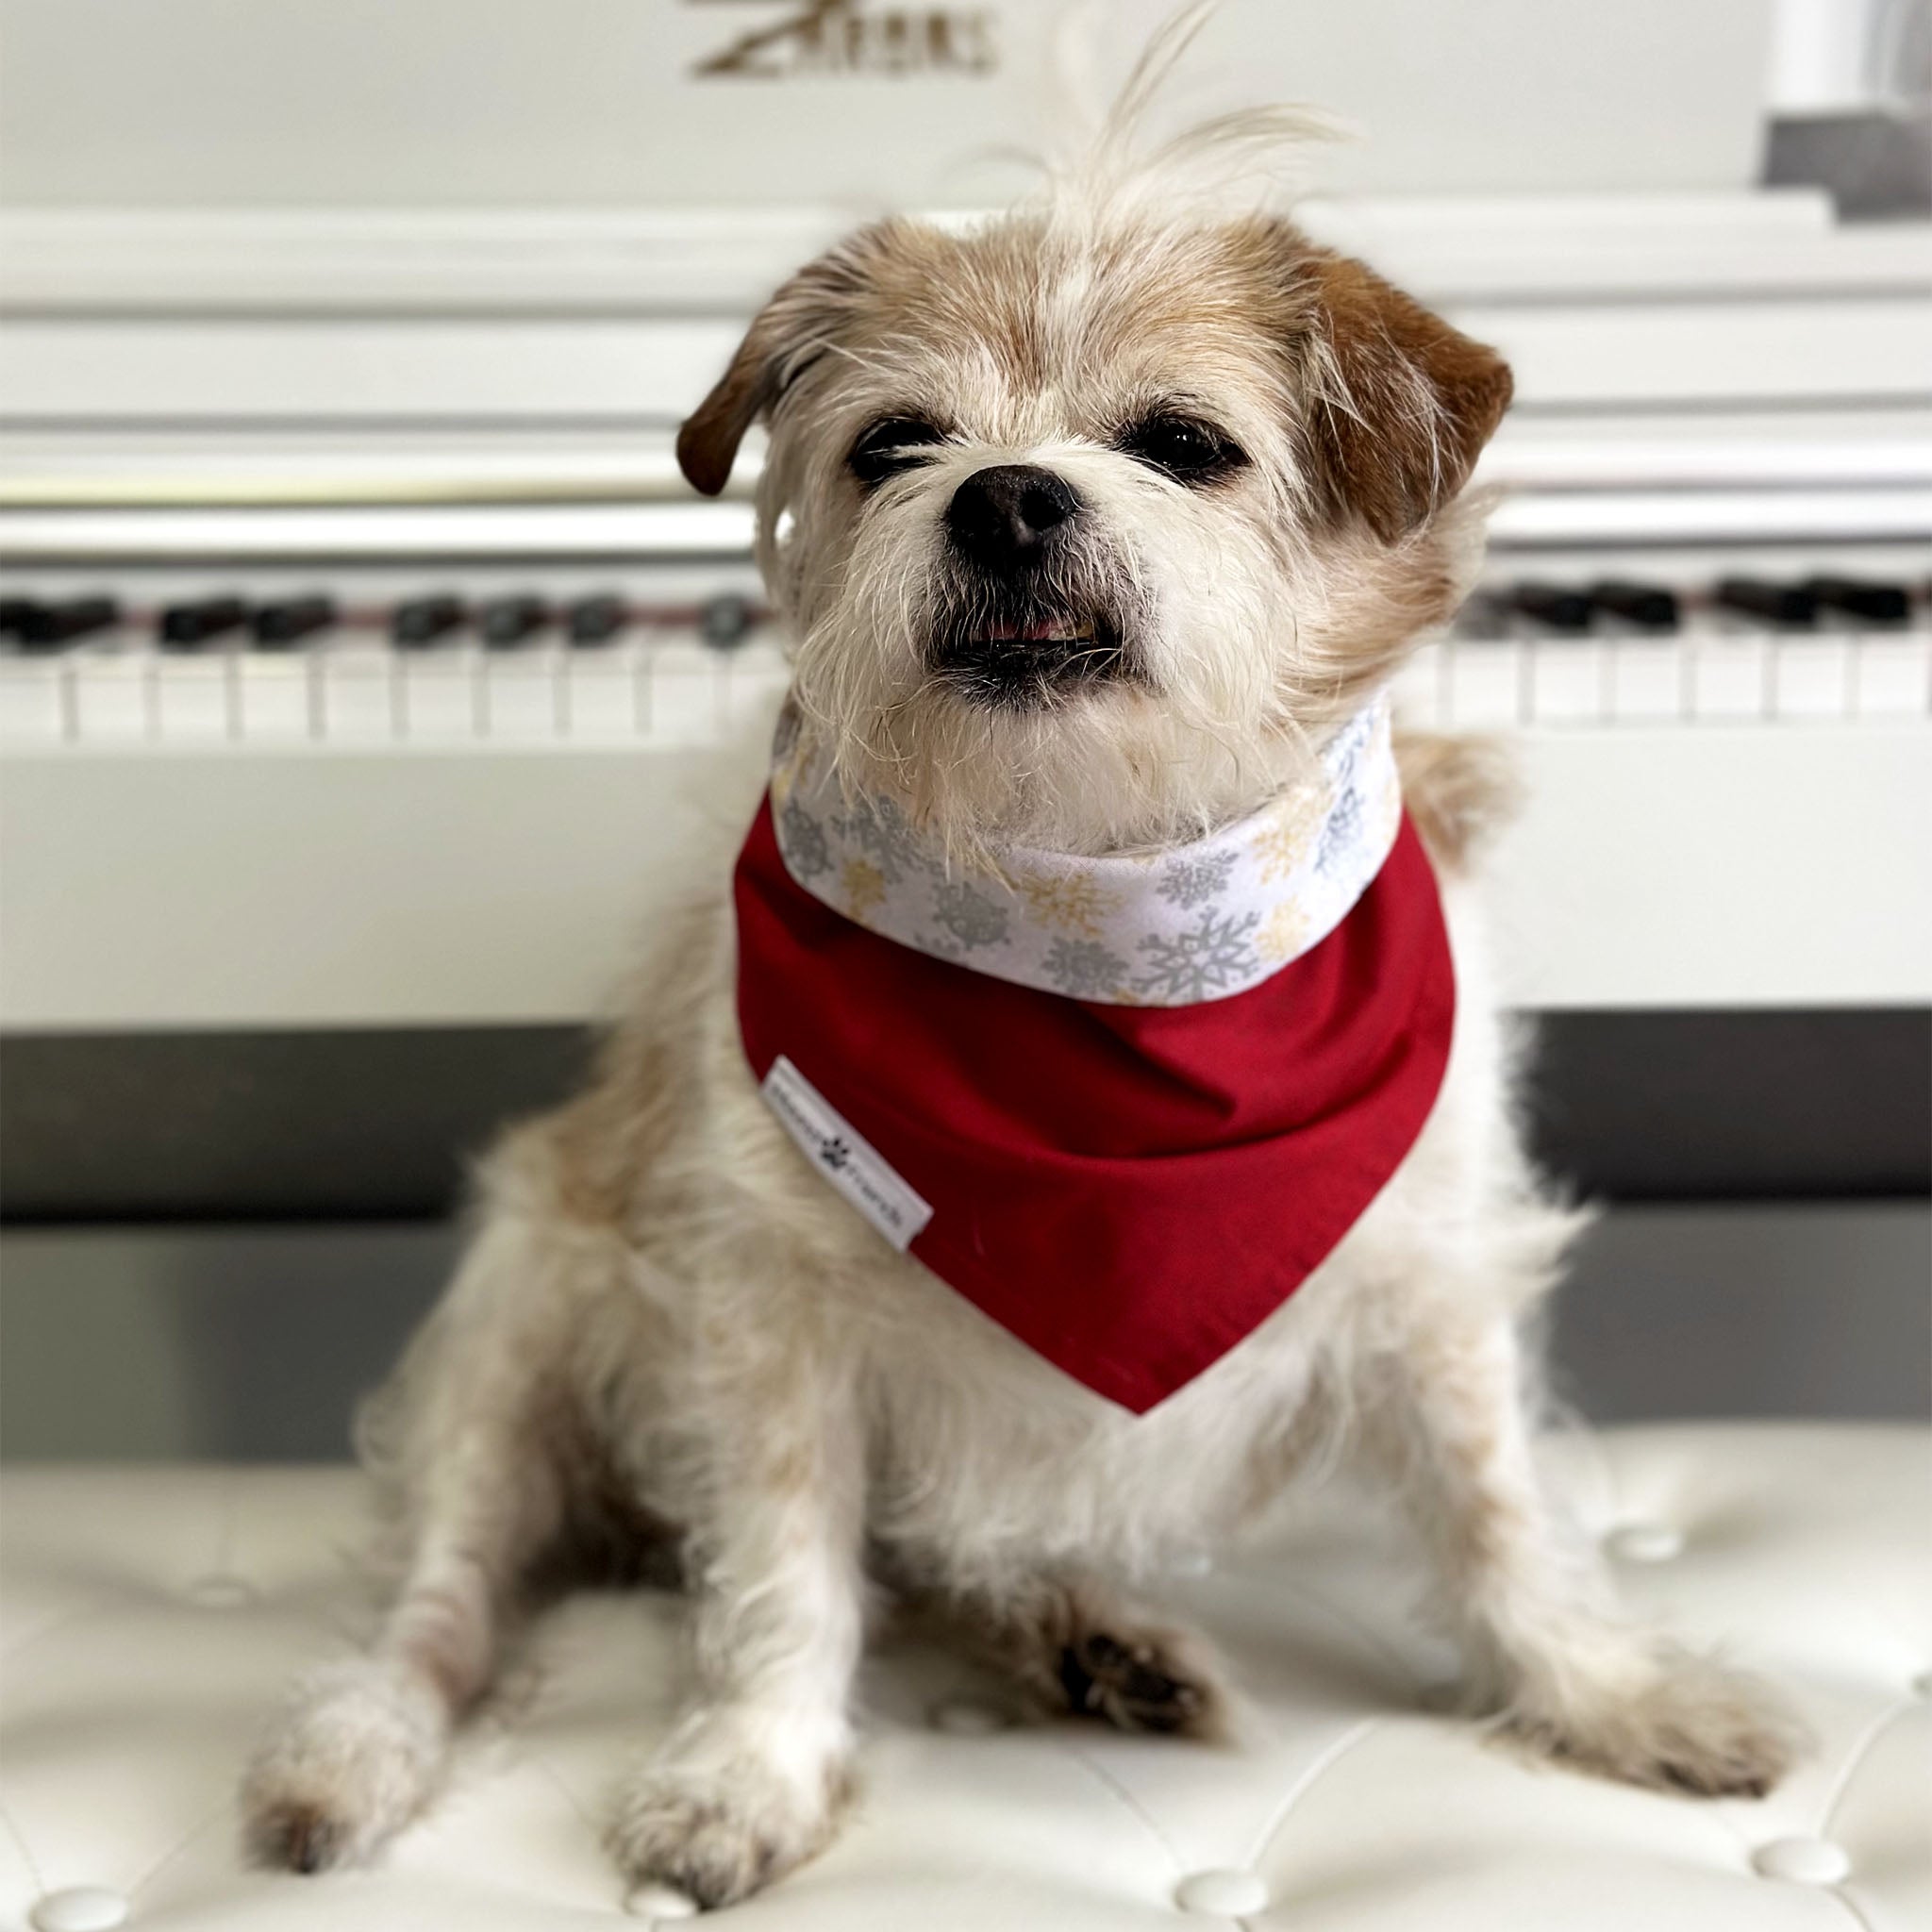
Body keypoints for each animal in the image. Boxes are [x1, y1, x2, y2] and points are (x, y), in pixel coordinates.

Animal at [242, 18, 1792, 1916]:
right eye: (895, 441)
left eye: (1185, 444)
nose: (1003, 498)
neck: (1092, 906)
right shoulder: (771, 1317)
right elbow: (783, 1567)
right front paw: (747, 1771)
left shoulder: (1429, 1282)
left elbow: (1503, 1516)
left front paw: (1609, 1692)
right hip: (521, 1308)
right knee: (444, 1594)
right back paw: (353, 1748)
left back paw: (1088, 1640)